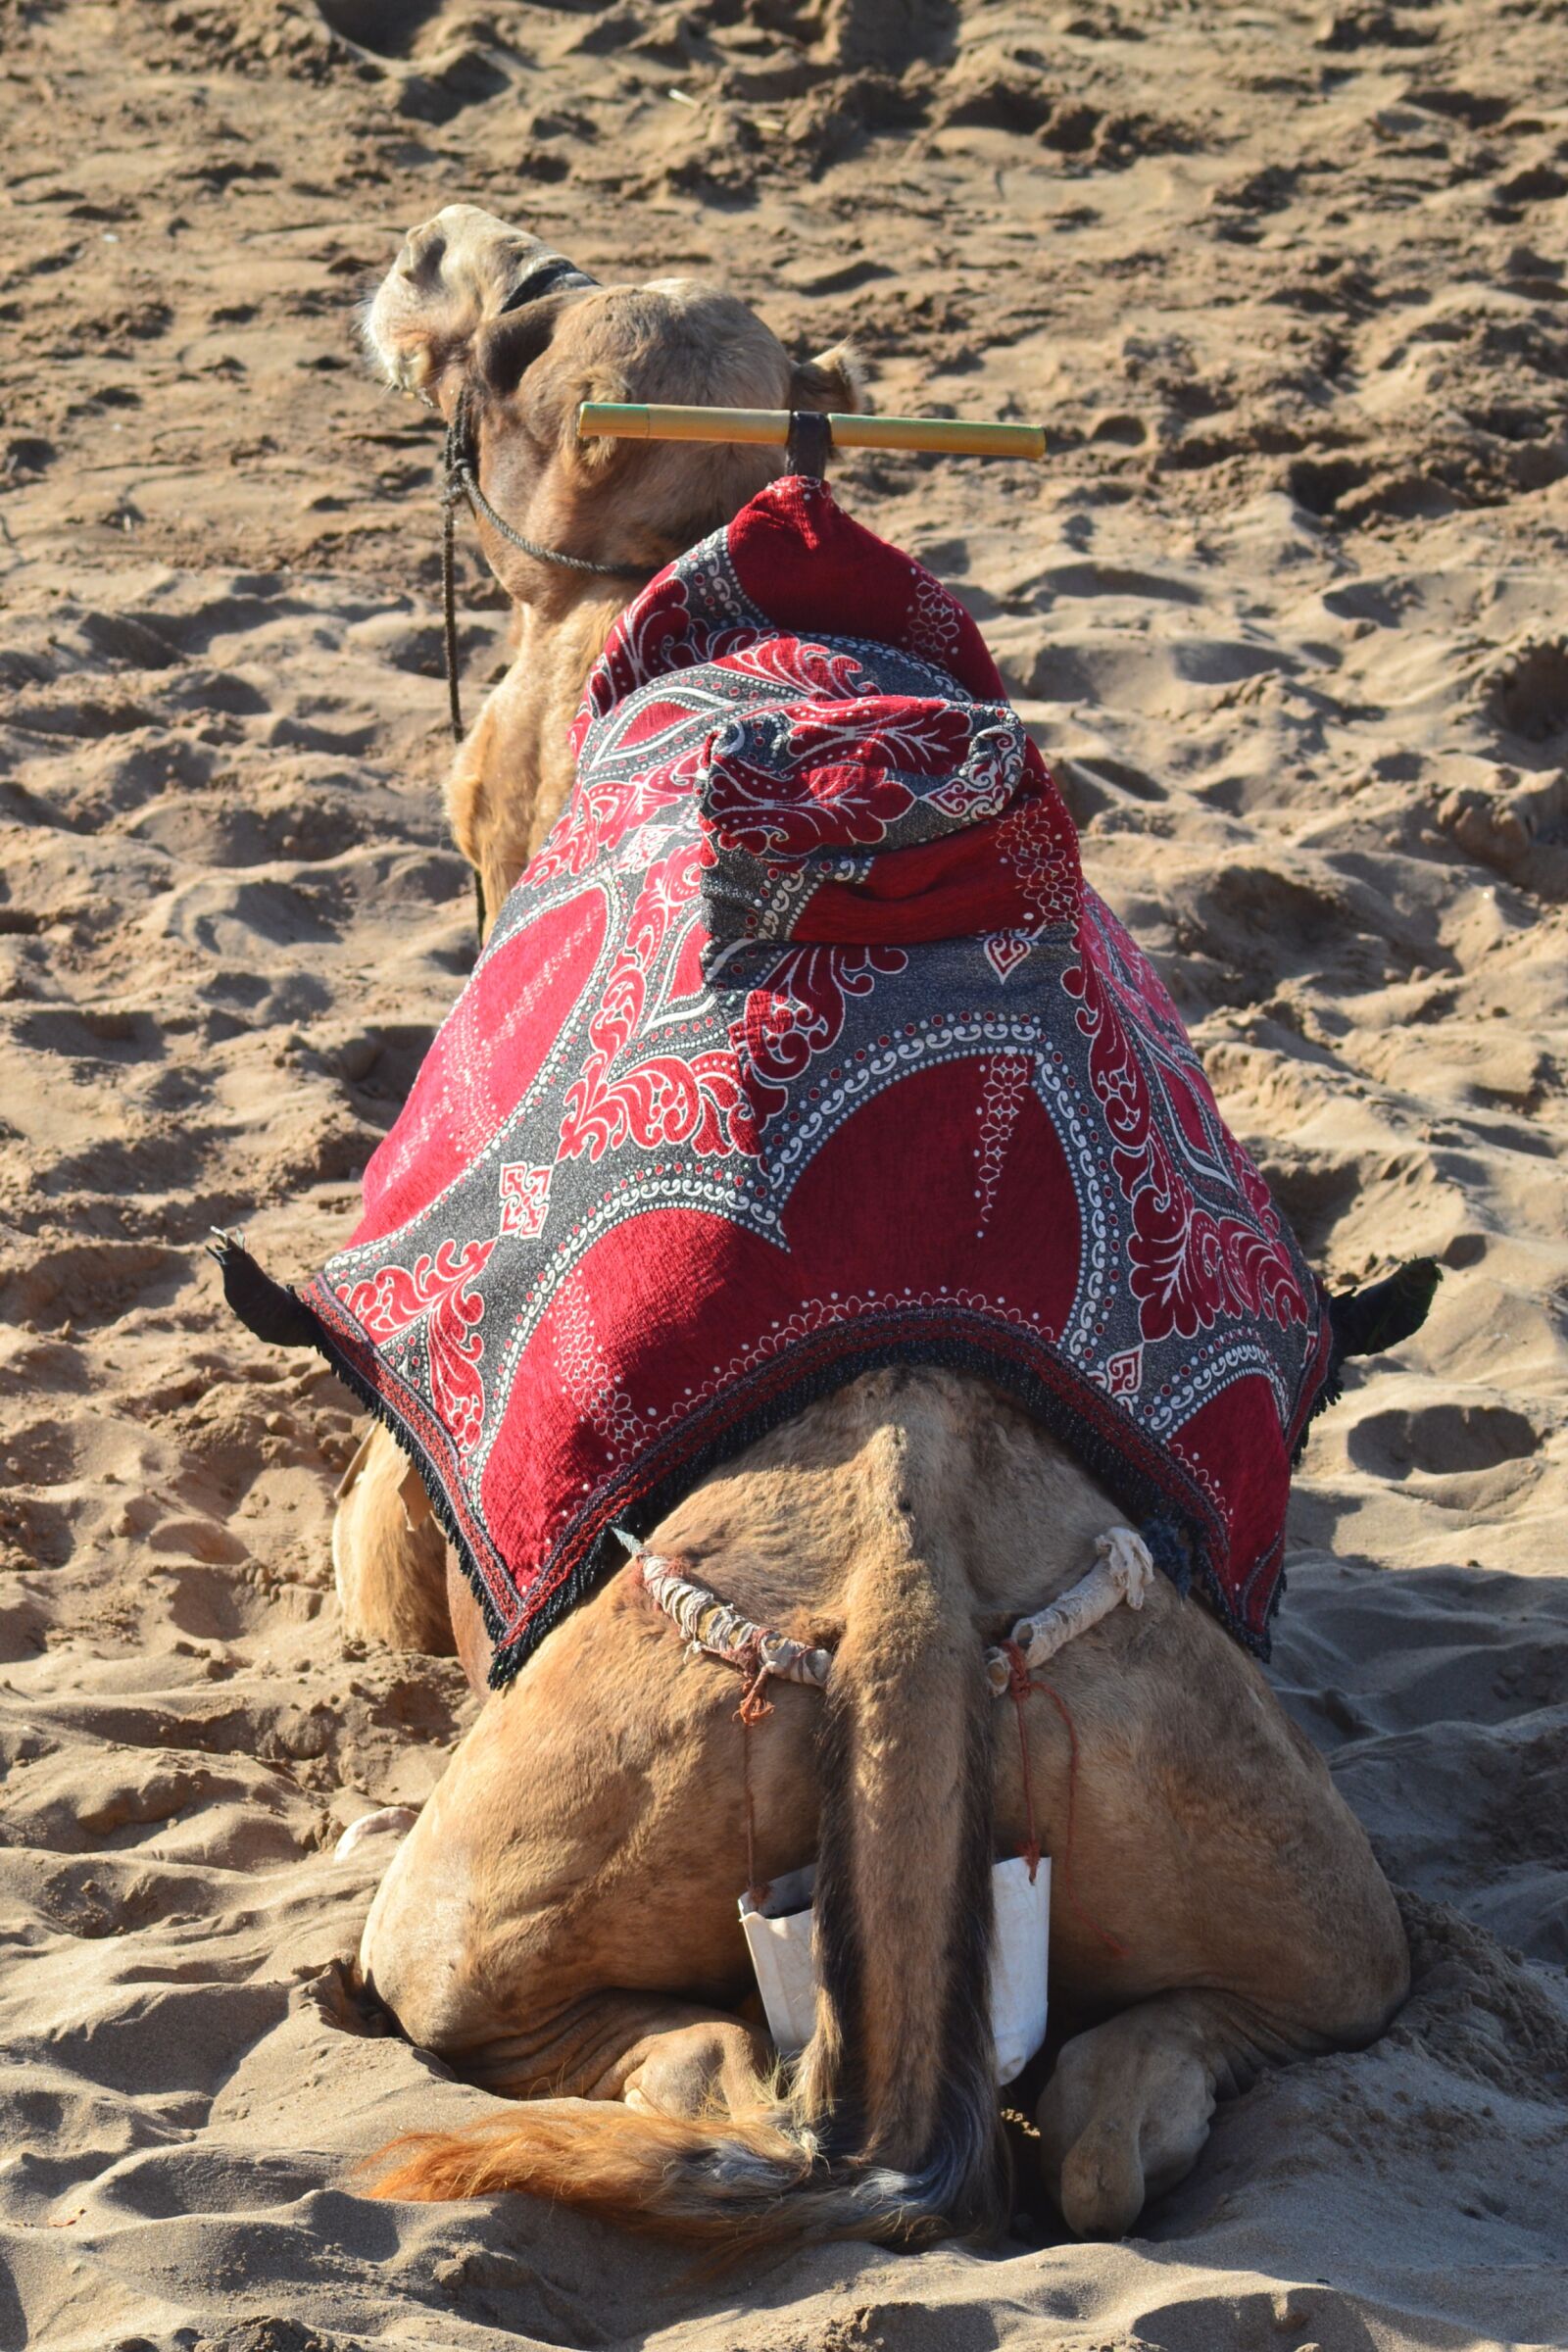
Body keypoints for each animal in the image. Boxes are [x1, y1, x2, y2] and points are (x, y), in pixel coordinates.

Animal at [334, 206, 1409, 2245]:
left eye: (511, 335)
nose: (436, 243)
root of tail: (907, 1603)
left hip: (508, 1873)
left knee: (652, 2052)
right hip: (1277, 1865)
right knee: (1151, 2101)